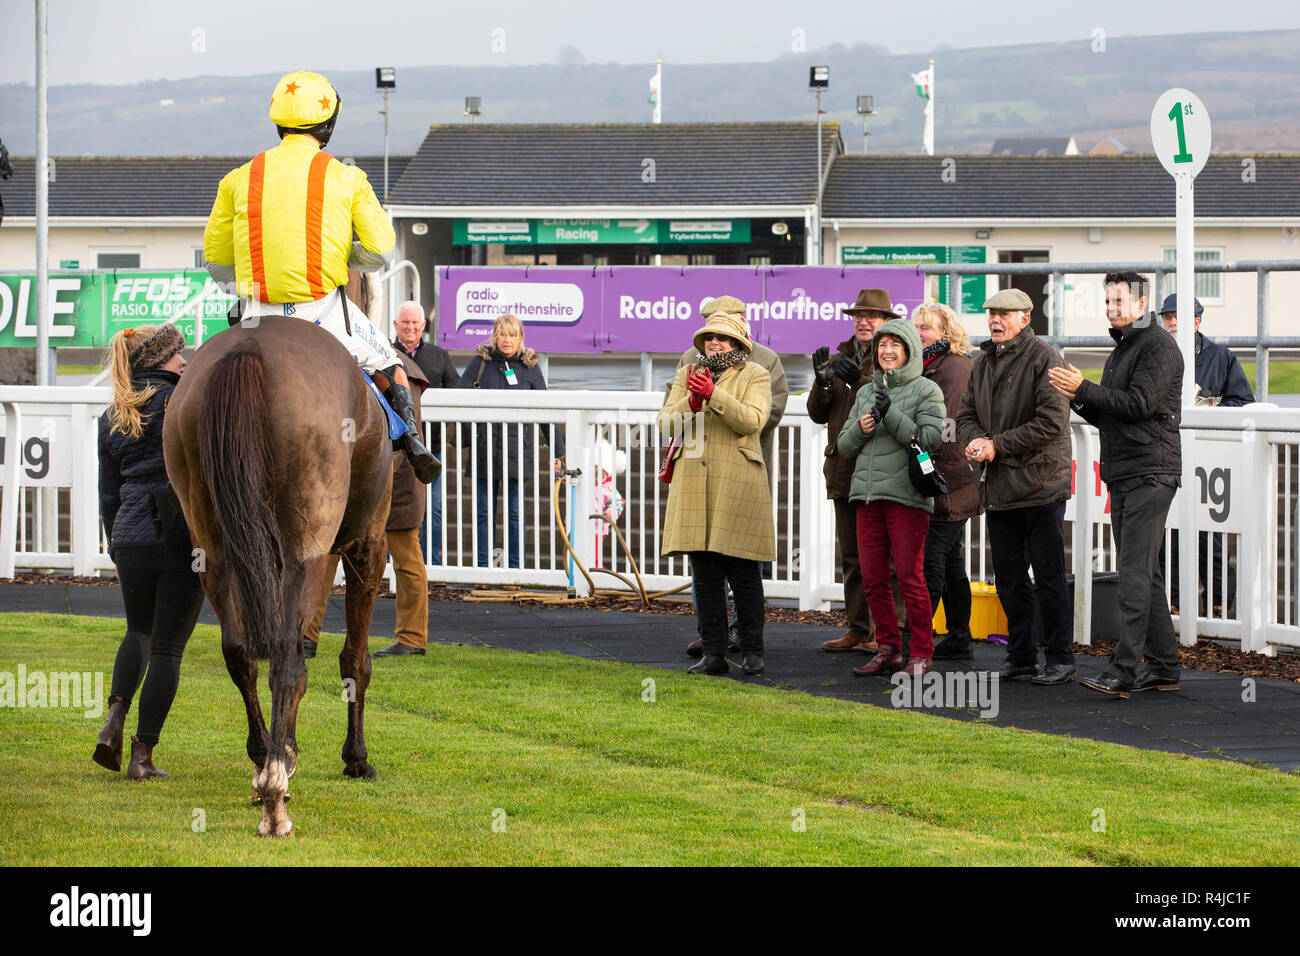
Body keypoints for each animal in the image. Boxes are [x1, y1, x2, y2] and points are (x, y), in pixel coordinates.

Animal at [161, 316, 390, 837]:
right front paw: (355, 758)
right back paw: (274, 796)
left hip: (213, 540)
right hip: (303, 540)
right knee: (286, 658)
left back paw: (262, 761)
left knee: (240, 651)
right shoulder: (366, 542)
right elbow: (354, 660)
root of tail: (248, 348)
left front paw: (285, 748)